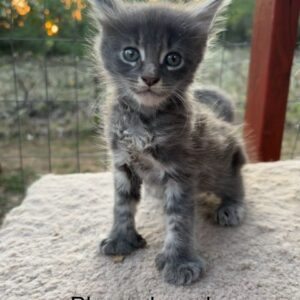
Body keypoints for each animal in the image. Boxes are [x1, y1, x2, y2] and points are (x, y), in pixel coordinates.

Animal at [89, 0, 246, 286]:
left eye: (173, 59)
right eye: (130, 54)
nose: (150, 78)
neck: (143, 120)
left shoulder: (181, 167)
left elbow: (179, 218)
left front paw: (179, 261)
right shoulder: (122, 161)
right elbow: (122, 205)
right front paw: (120, 239)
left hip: (221, 161)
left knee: (234, 180)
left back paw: (231, 206)